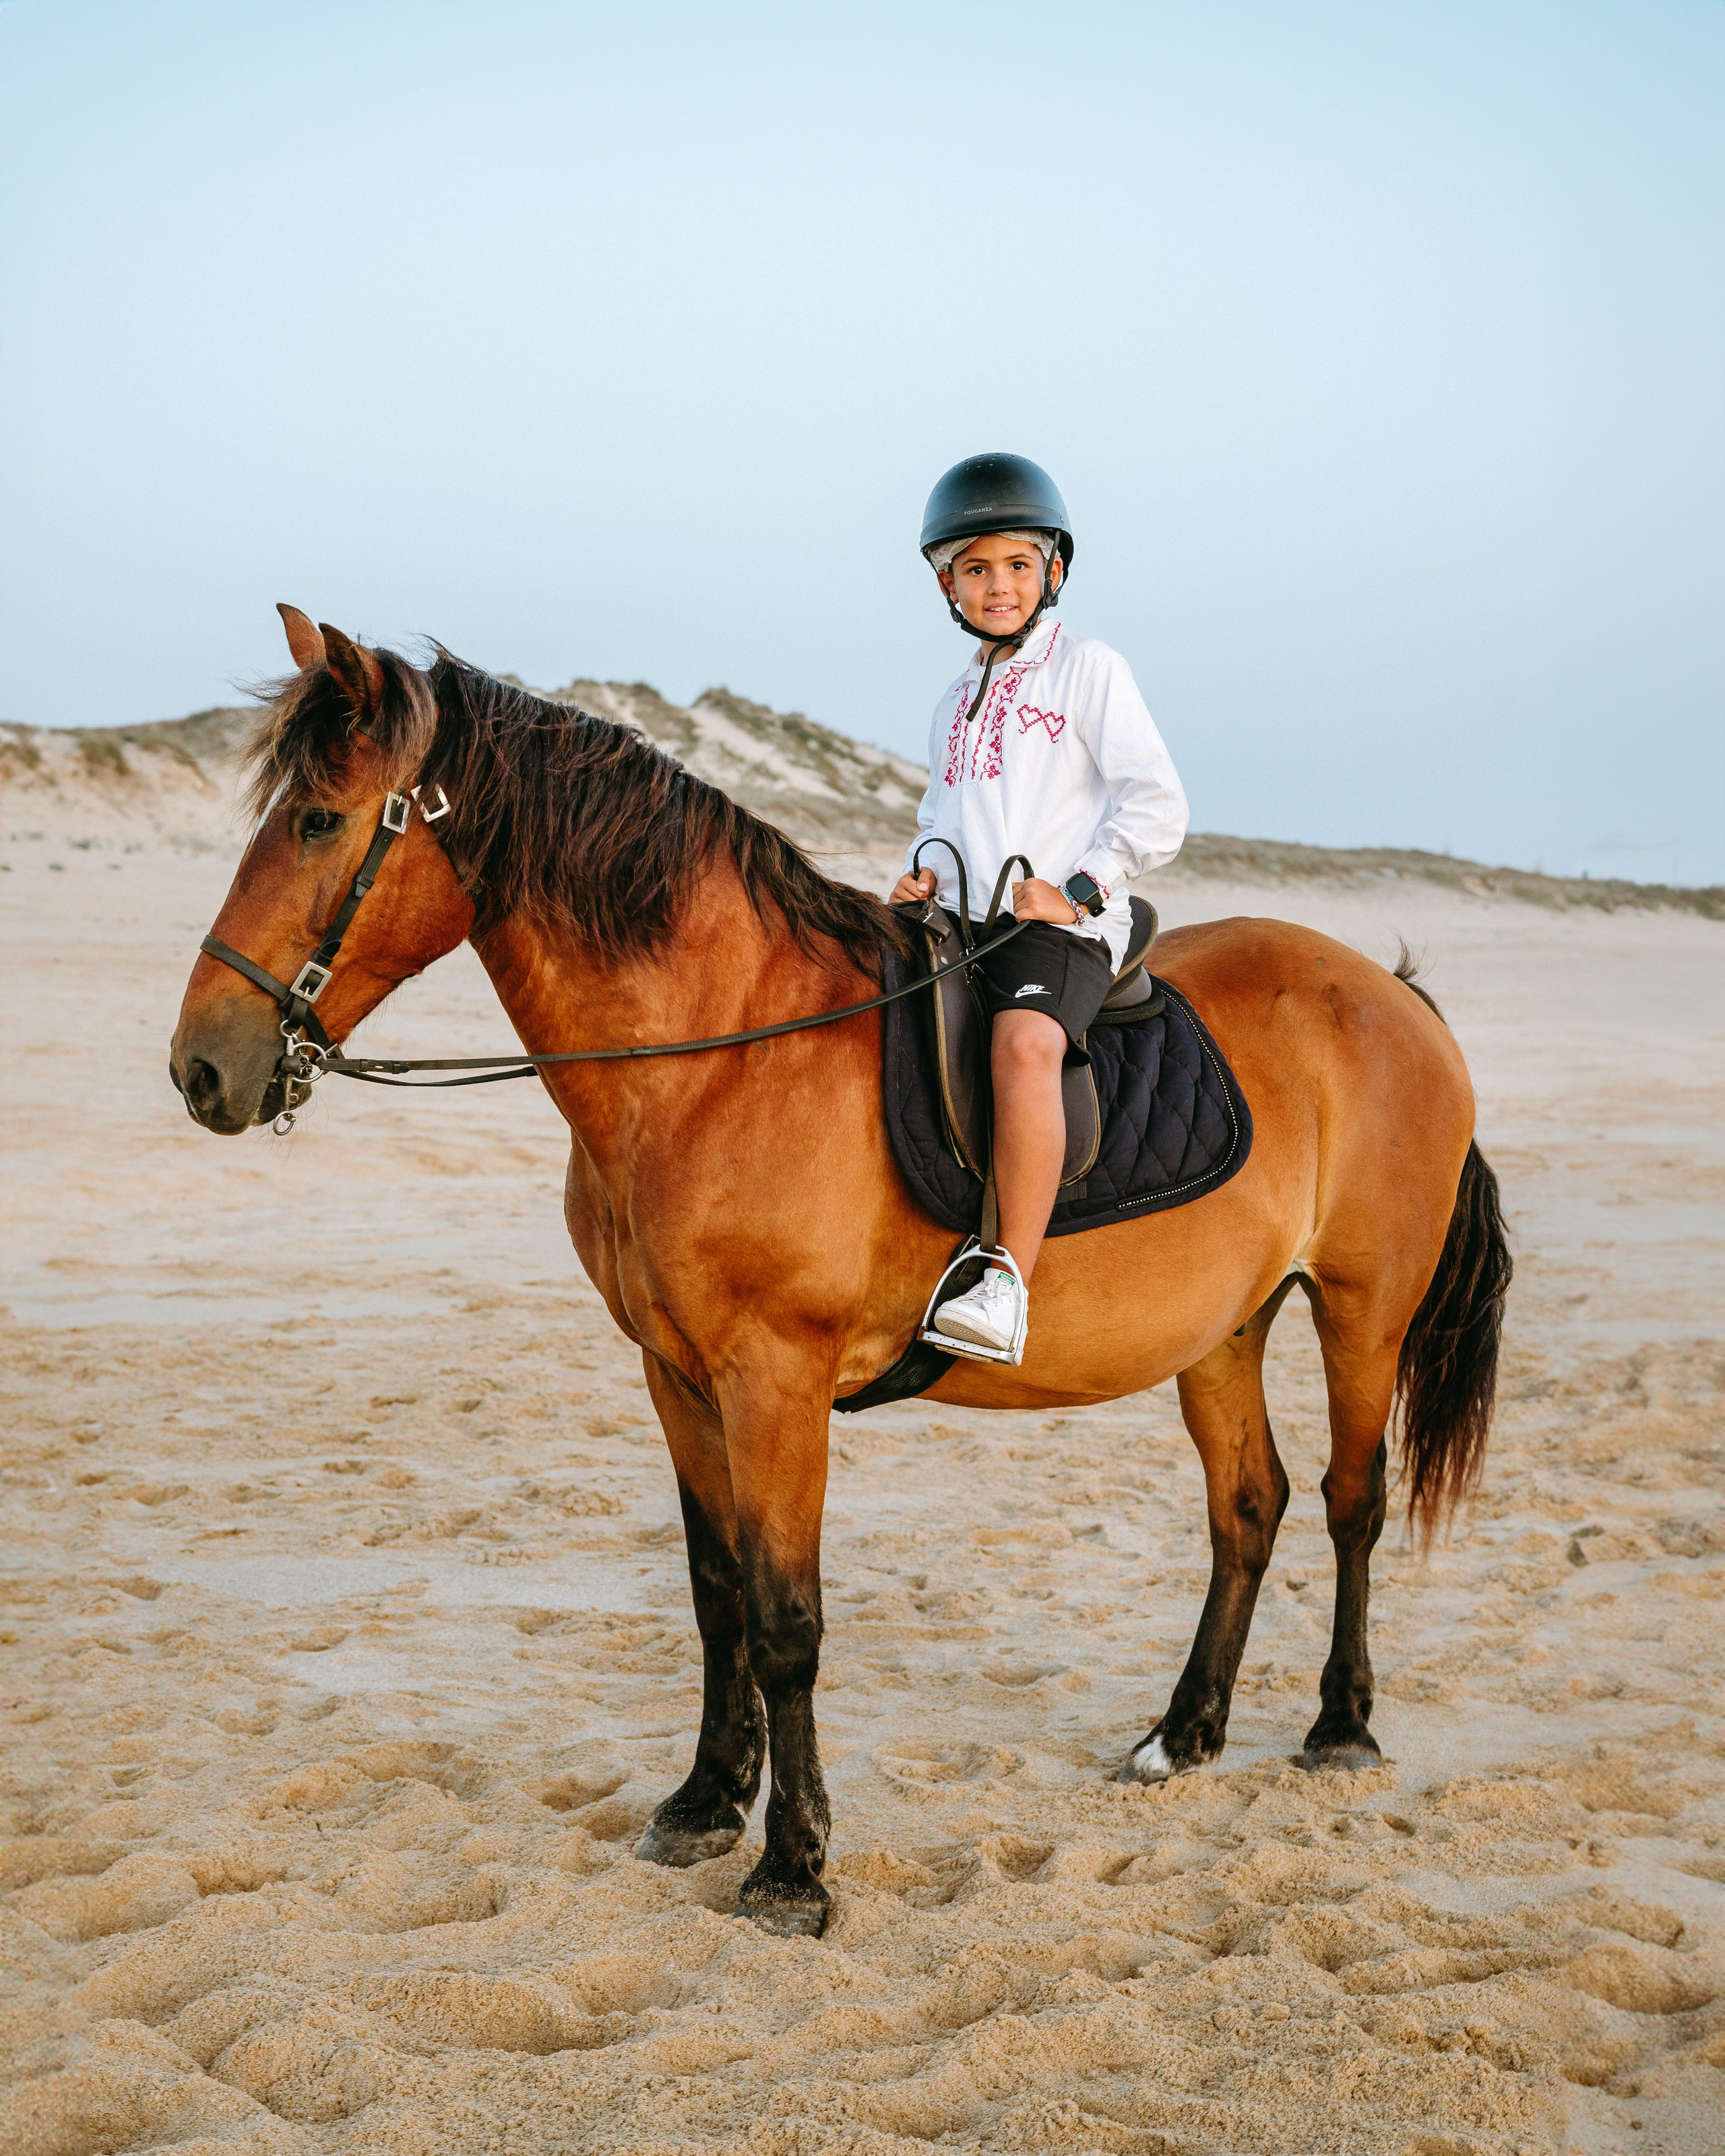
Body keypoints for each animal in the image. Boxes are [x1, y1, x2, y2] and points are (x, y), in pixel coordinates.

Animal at [169, 610, 1511, 1938]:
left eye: (319, 821)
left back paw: (1341, 1727)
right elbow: (717, 1594)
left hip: (1362, 1311)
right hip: (1224, 1330)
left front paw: (792, 1867)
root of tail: (1396, 995)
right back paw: (1183, 1738)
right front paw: (706, 1802)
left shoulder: (778, 1382)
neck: (716, 1059)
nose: (200, 1070)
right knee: (1249, 1507)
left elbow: (786, 1621)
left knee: (1350, 1501)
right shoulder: (678, 1377)